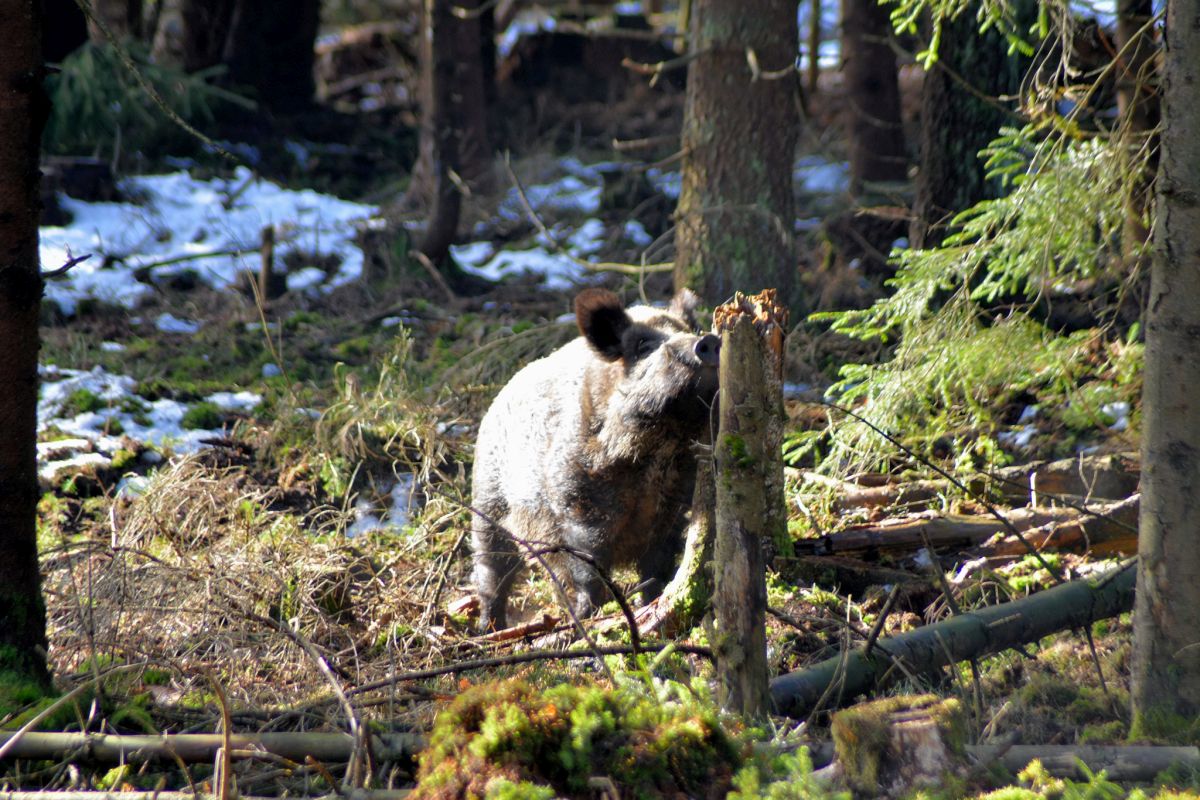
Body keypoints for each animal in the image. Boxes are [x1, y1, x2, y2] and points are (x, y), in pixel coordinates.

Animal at [471, 288, 721, 631]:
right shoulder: (575, 504)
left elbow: (657, 565)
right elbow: (588, 566)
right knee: (493, 568)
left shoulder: (675, 507)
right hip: (488, 502)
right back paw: (489, 628)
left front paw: (650, 603)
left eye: (686, 330)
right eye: (642, 345)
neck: (658, 451)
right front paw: (589, 617)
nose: (707, 340)